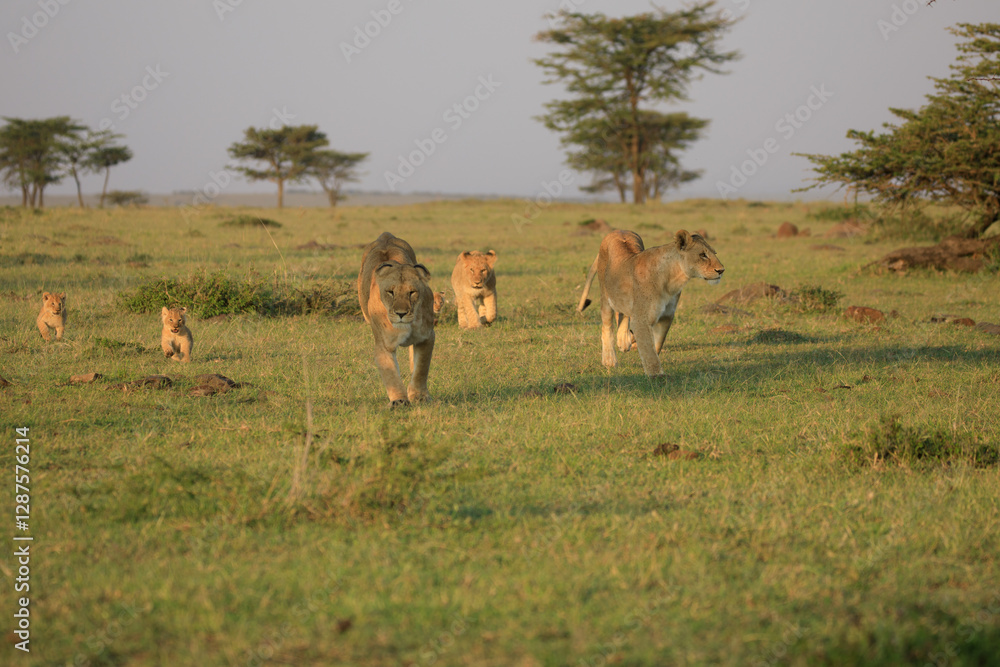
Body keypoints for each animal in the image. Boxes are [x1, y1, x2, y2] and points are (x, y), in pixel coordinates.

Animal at [358, 232, 435, 407]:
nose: (401, 313)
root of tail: (385, 235)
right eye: (390, 292)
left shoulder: (427, 337)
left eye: (412, 292)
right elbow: (391, 374)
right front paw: (399, 401)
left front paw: (419, 396)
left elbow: (421, 368)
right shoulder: (383, 344)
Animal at [577, 229, 724, 377]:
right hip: (605, 292)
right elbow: (649, 350)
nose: (721, 270)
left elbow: (657, 344)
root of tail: (617, 230)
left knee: (623, 314)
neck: (673, 279)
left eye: (715, 253)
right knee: (607, 326)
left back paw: (624, 340)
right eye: (703, 255)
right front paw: (657, 376)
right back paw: (609, 360)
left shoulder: (666, 316)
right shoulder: (641, 319)